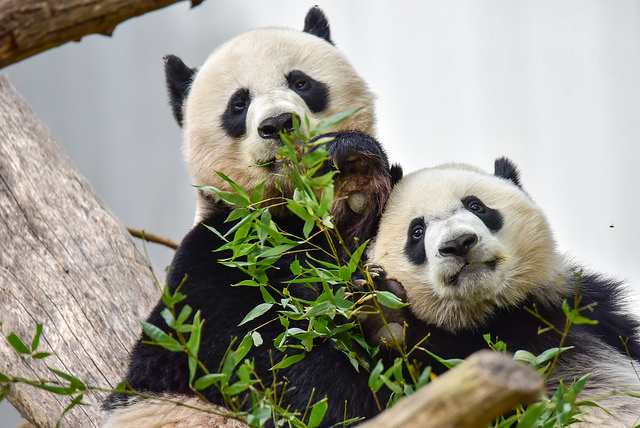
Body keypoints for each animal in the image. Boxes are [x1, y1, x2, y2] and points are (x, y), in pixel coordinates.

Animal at [103, 7, 400, 427]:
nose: (278, 124)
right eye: (238, 104)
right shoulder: (220, 253)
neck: (293, 211)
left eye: (301, 82)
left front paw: (354, 175)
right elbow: (266, 353)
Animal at [366, 158, 640, 426]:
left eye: (476, 206)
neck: (493, 316)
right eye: (417, 232)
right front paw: (386, 316)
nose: (458, 243)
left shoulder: (586, 310)